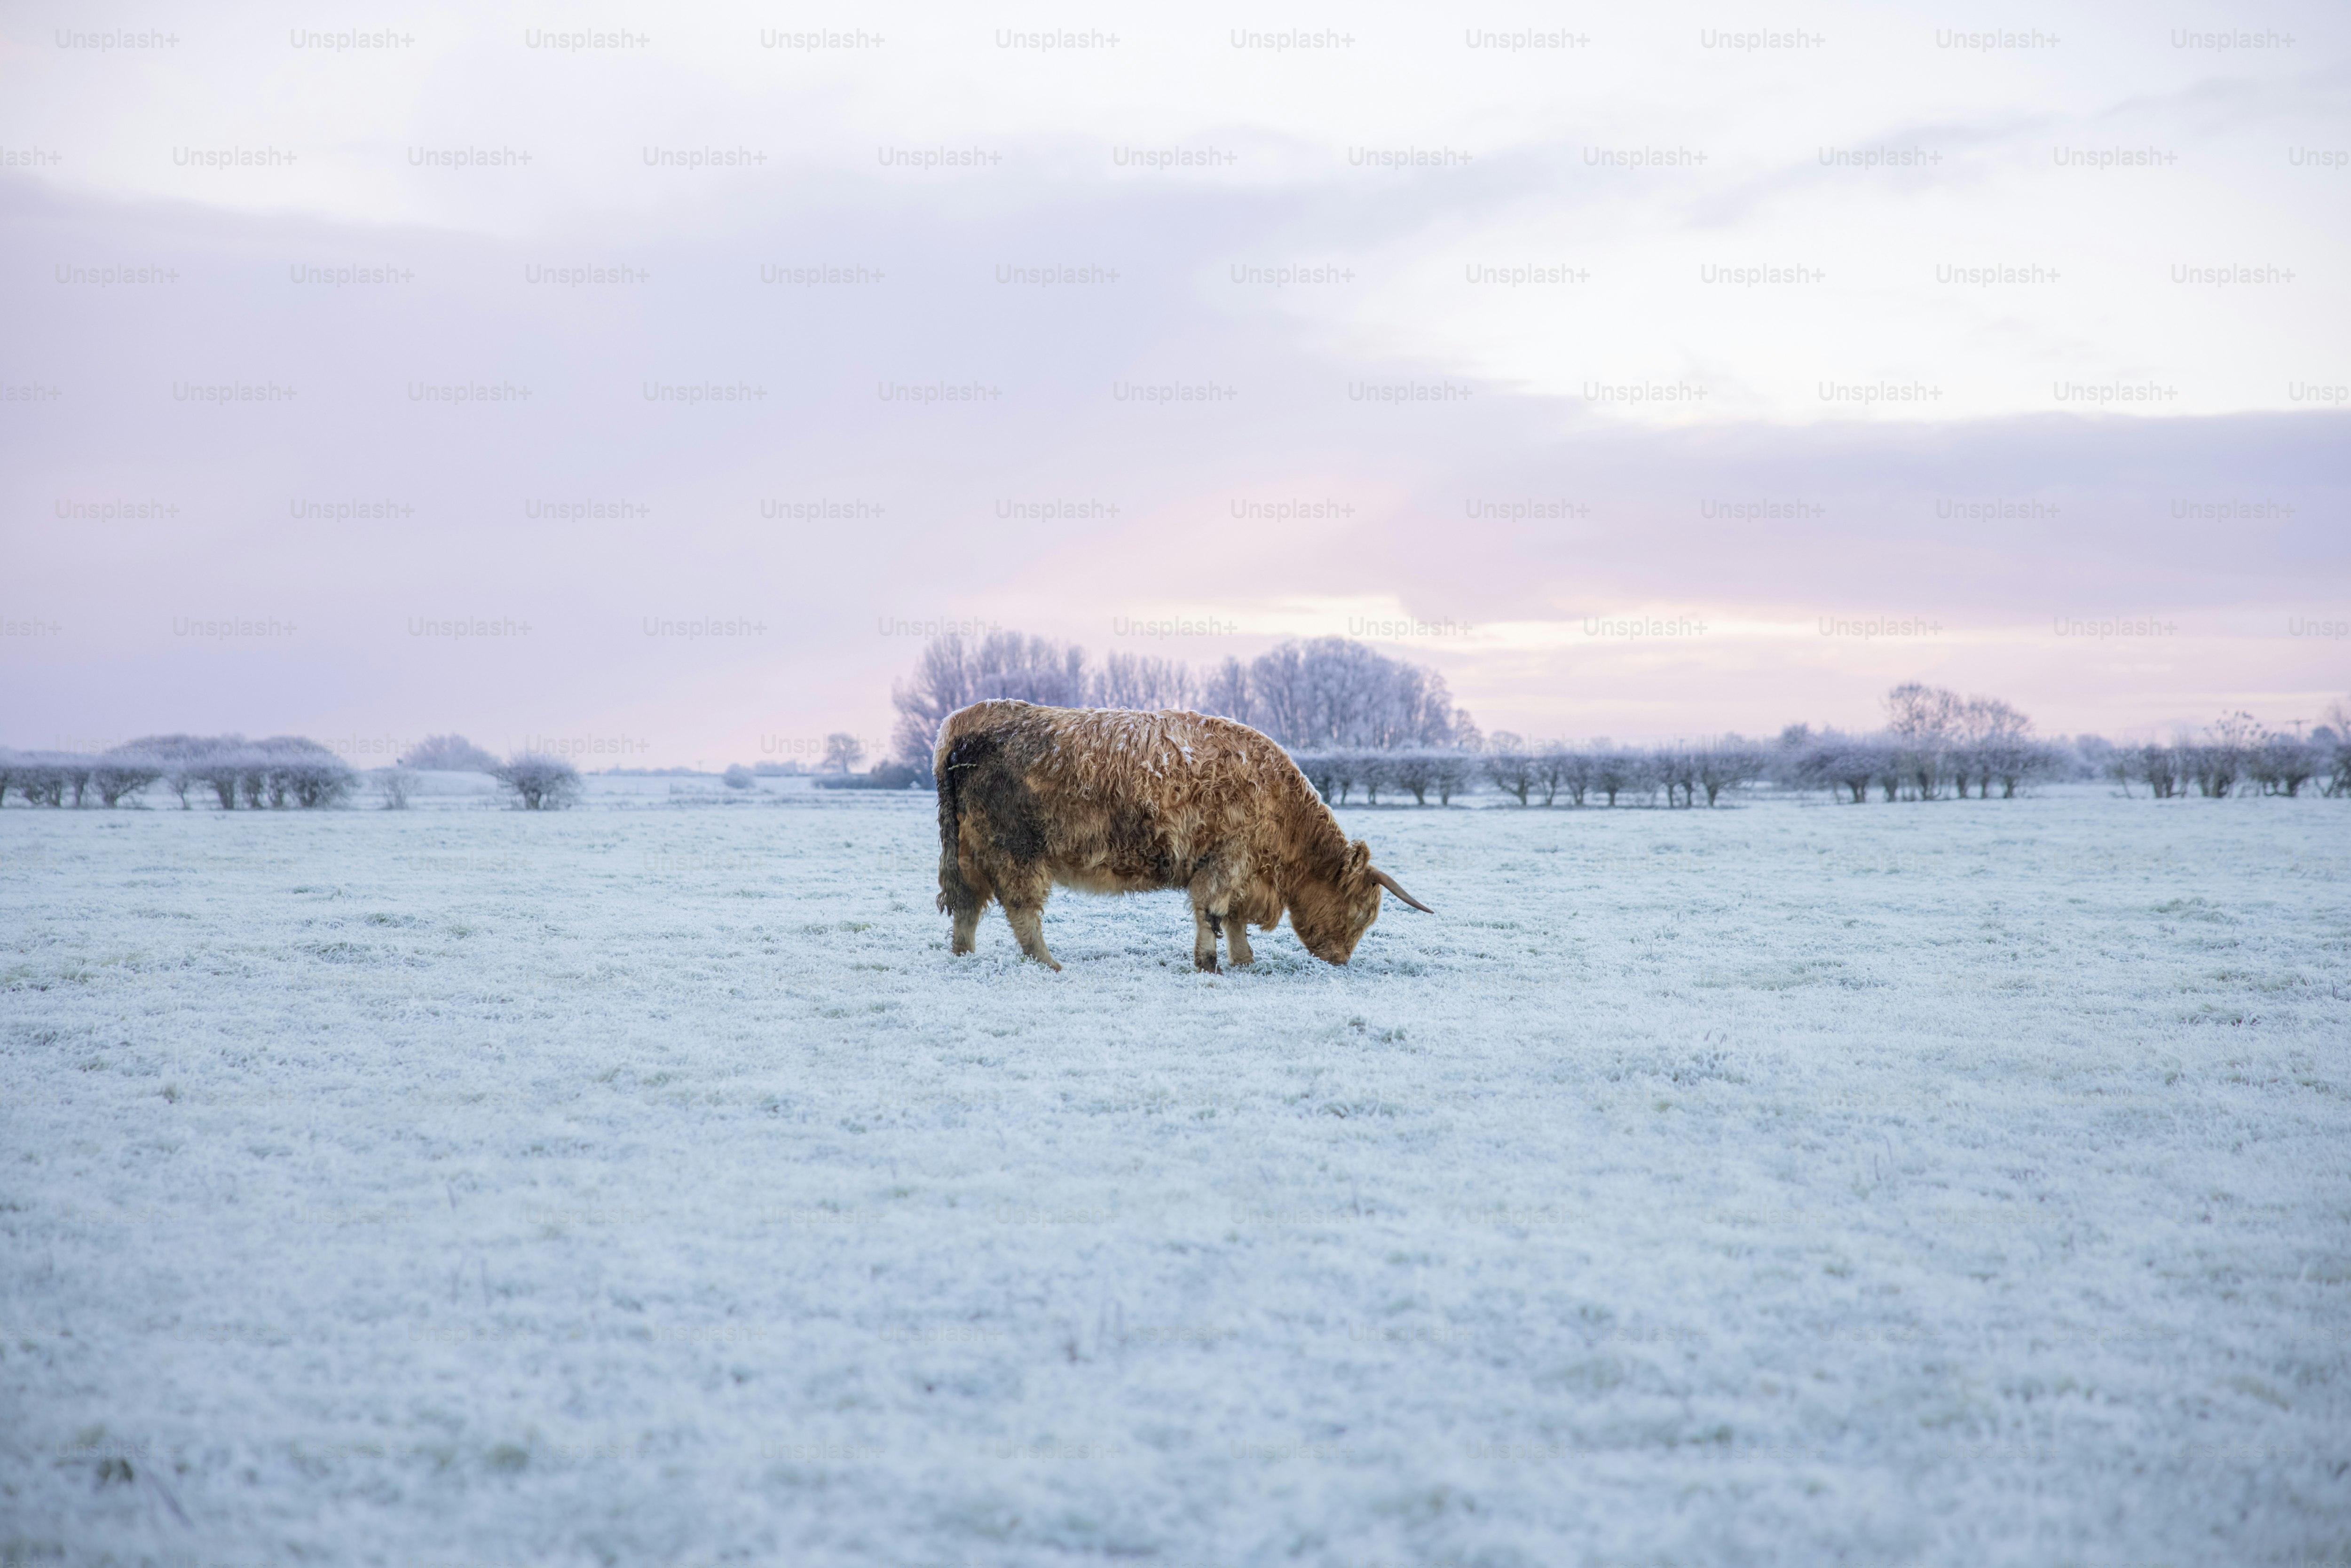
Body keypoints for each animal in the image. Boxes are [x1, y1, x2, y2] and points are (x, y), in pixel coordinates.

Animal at [932, 699, 1434, 971]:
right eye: (1362, 913)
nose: (1340, 959)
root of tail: (962, 721)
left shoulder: (1238, 869)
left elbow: (1233, 919)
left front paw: (1243, 959)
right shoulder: (1226, 860)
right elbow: (1212, 913)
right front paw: (1209, 964)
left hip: (967, 850)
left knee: (967, 904)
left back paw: (963, 956)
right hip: (1016, 849)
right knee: (1020, 908)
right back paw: (1048, 963)